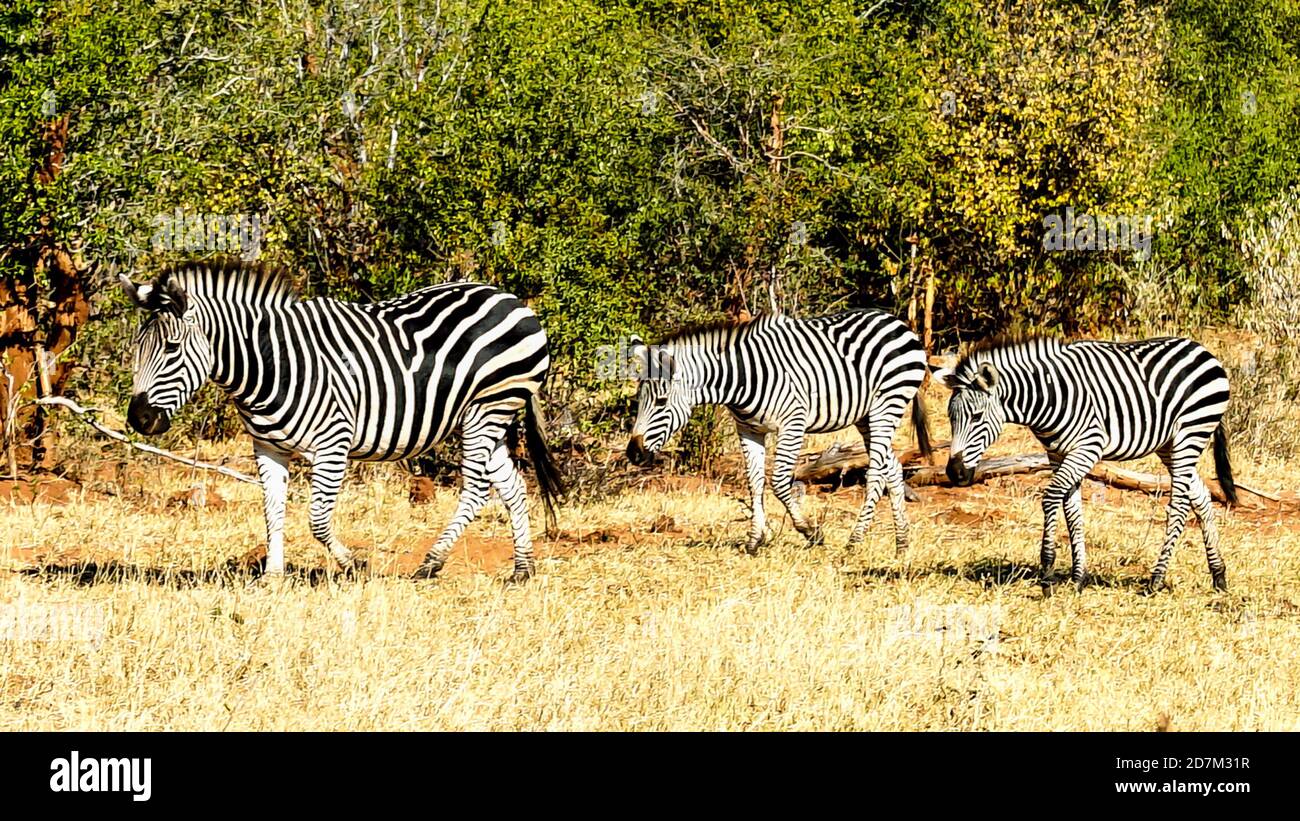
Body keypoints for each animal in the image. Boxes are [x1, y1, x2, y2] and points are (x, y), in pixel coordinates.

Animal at [120, 259, 564, 579]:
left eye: (172, 348)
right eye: (137, 347)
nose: (139, 419)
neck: (271, 363)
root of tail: (510, 298)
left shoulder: (332, 443)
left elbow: (317, 520)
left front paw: (351, 564)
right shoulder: (267, 448)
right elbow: (272, 510)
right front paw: (272, 576)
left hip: (488, 408)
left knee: (476, 489)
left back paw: (431, 562)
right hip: (484, 417)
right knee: (512, 485)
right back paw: (522, 568)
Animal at [624, 310, 930, 555]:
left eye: (661, 401)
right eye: (639, 399)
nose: (633, 454)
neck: (743, 378)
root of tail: (894, 320)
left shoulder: (792, 423)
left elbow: (780, 482)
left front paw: (811, 532)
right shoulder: (748, 429)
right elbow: (755, 482)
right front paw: (754, 540)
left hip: (886, 404)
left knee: (876, 473)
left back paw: (854, 541)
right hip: (866, 416)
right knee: (892, 468)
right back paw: (902, 543)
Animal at [935, 337, 1237, 592]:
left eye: (976, 416)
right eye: (950, 417)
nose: (954, 473)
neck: (1049, 395)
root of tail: (1203, 349)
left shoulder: (1088, 447)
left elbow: (1051, 498)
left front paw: (1047, 573)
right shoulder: (1058, 454)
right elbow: (1073, 513)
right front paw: (1078, 577)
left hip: (1191, 433)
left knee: (1180, 505)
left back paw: (1156, 580)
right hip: (1169, 445)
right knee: (1201, 496)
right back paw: (1219, 576)